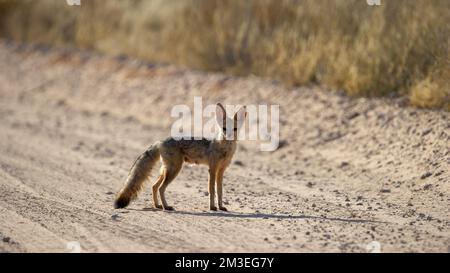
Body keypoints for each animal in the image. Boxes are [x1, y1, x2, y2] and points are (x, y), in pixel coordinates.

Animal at [112, 102, 246, 210]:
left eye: (234, 129)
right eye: (224, 128)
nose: (228, 136)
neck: (224, 150)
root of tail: (160, 141)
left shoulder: (221, 170)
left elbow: (220, 190)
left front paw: (221, 207)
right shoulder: (212, 169)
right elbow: (212, 190)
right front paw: (213, 207)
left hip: (166, 170)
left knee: (154, 186)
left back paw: (157, 205)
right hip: (174, 170)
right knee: (160, 188)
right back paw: (166, 207)